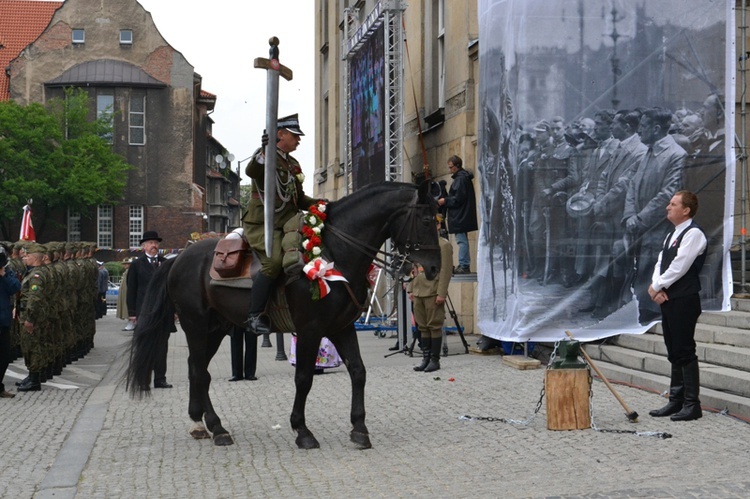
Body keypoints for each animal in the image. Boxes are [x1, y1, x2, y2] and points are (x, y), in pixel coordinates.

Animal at [127, 183, 444, 450]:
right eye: (427, 221)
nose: (433, 268)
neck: (333, 253)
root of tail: (178, 258)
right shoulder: (310, 329)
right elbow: (303, 378)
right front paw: (302, 430)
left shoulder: (342, 327)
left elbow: (358, 372)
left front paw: (359, 429)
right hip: (195, 323)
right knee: (198, 371)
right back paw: (214, 427)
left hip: (216, 328)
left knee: (197, 368)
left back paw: (204, 424)